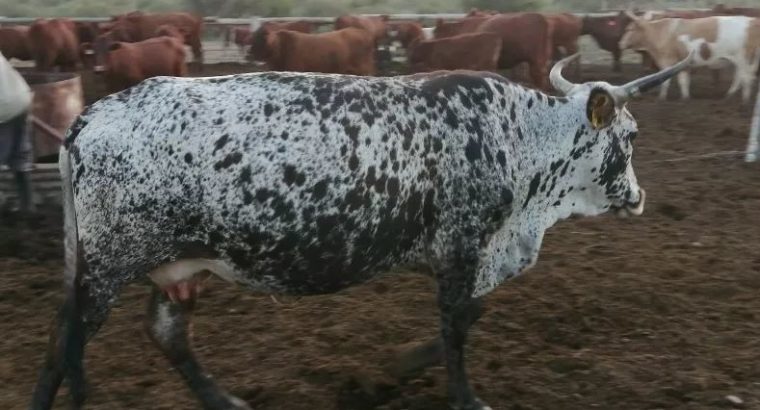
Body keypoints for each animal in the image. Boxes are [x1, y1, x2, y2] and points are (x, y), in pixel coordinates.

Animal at [28, 52, 693, 410]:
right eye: (631, 135)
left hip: (176, 265)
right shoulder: (462, 246)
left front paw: (393, 370)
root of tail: (88, 118)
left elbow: (468, 317)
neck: (515, 136)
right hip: (107, 264)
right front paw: (461, 394)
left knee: (164, 333)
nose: (638, 197)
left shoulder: (462, 255)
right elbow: (457, 326)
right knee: (63, 341)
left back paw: (224, 399)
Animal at [619, 13, 760, 103]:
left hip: (743, 59)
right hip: (741, 61)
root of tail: (752, 21)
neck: (661, 32)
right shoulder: (682, 63)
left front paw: (661, 99)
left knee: (746, 78)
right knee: (740, 77)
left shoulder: (667, 61)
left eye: (629, 29)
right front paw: (685, 99)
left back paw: (744, 102)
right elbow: (684, 81)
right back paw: (729, 96)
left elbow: (665, 82)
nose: (620, 43)